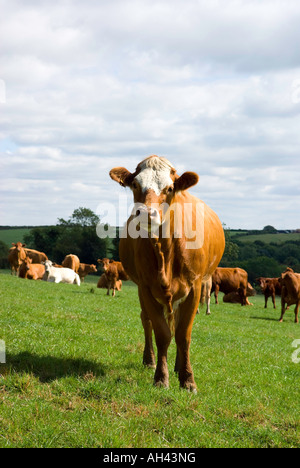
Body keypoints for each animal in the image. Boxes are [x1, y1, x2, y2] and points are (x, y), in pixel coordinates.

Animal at [109, 154, 225, 392]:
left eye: (170, 188)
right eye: (136, 184)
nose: (146, 213)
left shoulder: (195, 287)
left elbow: (183, 334)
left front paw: (187, 379)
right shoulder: (145, 287)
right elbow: (162, 333)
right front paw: (161, 378)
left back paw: (179, 366)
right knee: (147, 321)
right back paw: (150, 360)